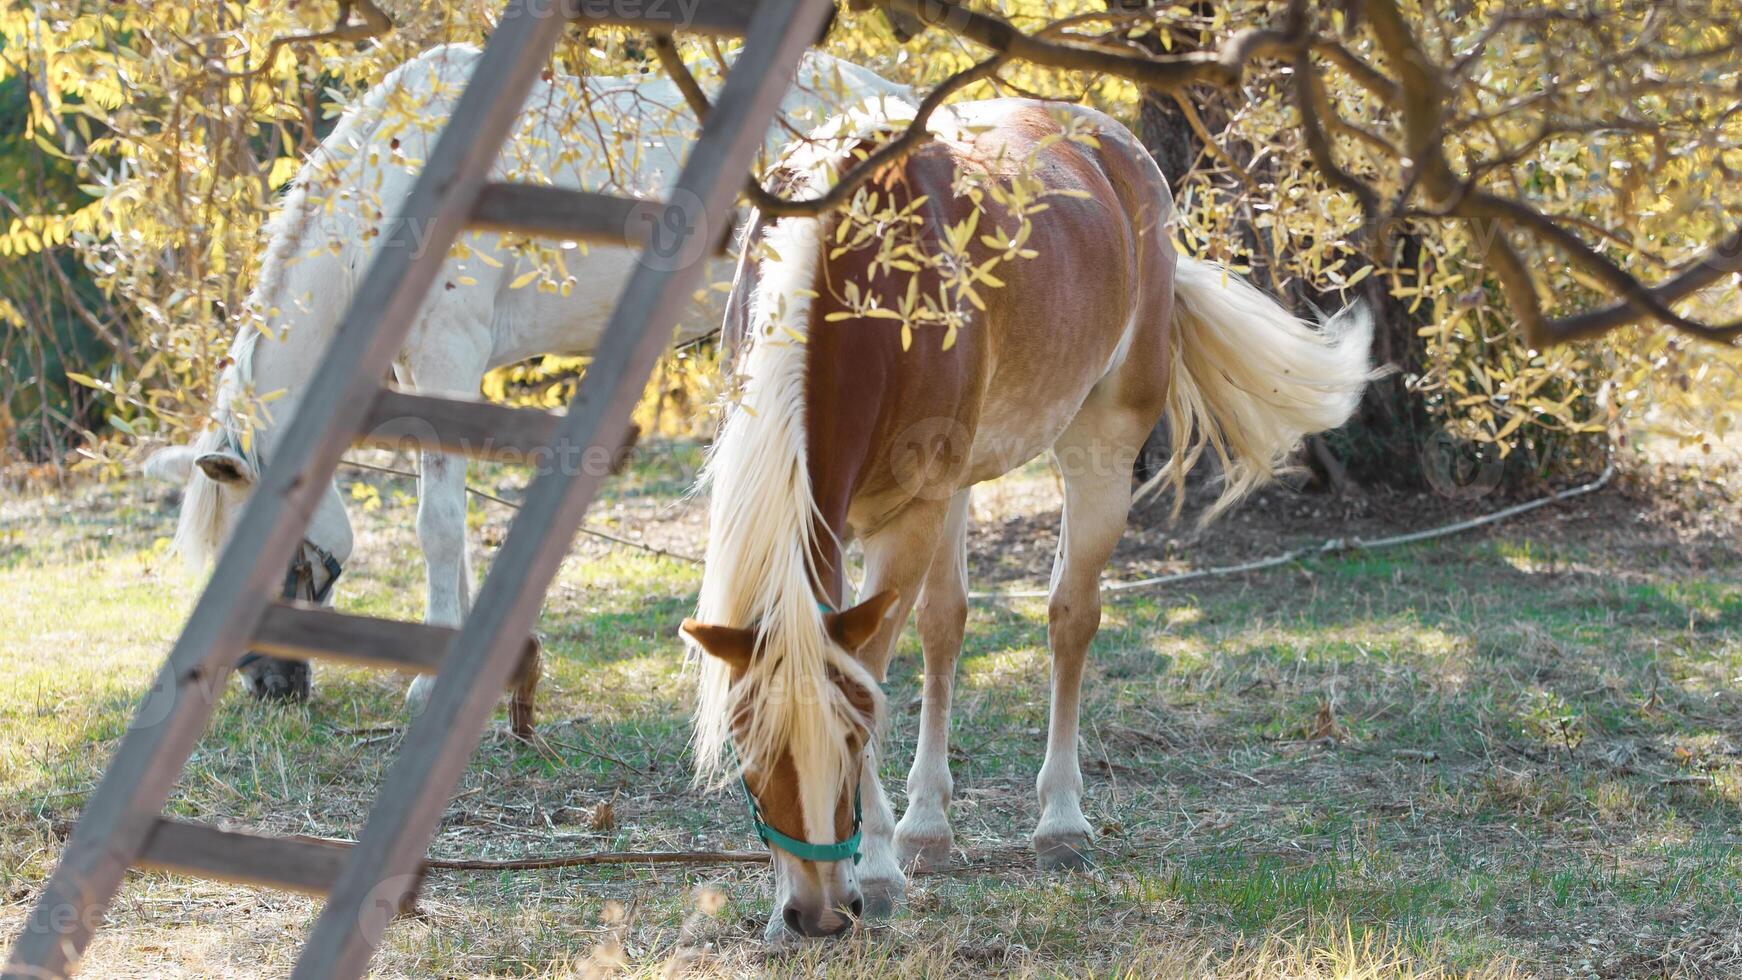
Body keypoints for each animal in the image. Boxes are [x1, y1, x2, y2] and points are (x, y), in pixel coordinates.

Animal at [679, 101, 1372, 939]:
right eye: (746, 747)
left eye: (849, 739)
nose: (815, 913)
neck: (858, 283)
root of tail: (1118, 148)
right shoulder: (856, 518)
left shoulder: (906, 520)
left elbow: (871, 672)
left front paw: (873, 870)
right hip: (956, 487)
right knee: (945, 625)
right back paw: (928, 828)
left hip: (1098, 450)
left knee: (1070, 617)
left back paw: (1060, 825)